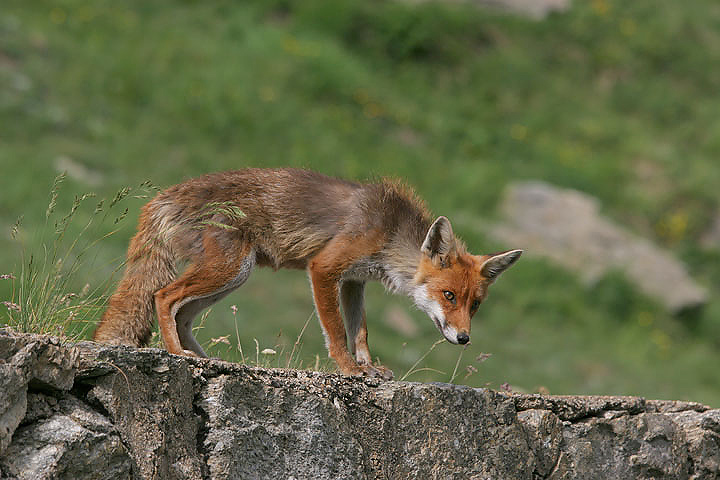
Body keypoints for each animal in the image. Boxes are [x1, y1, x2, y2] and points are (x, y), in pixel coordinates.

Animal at [94, 169, 524, 378]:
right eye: (449, 296)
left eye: (475, 305)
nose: (464, 338)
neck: (389, 233)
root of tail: (163, 197)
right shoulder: (325, 268)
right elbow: (336, 332)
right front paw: (349, 370)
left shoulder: (354, 281)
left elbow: (360, 331)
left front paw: (369, 367)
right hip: (228, 269)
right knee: (162, 296)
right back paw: (174, 353)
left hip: (232, 276)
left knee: (181, 313)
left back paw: (213, 360)